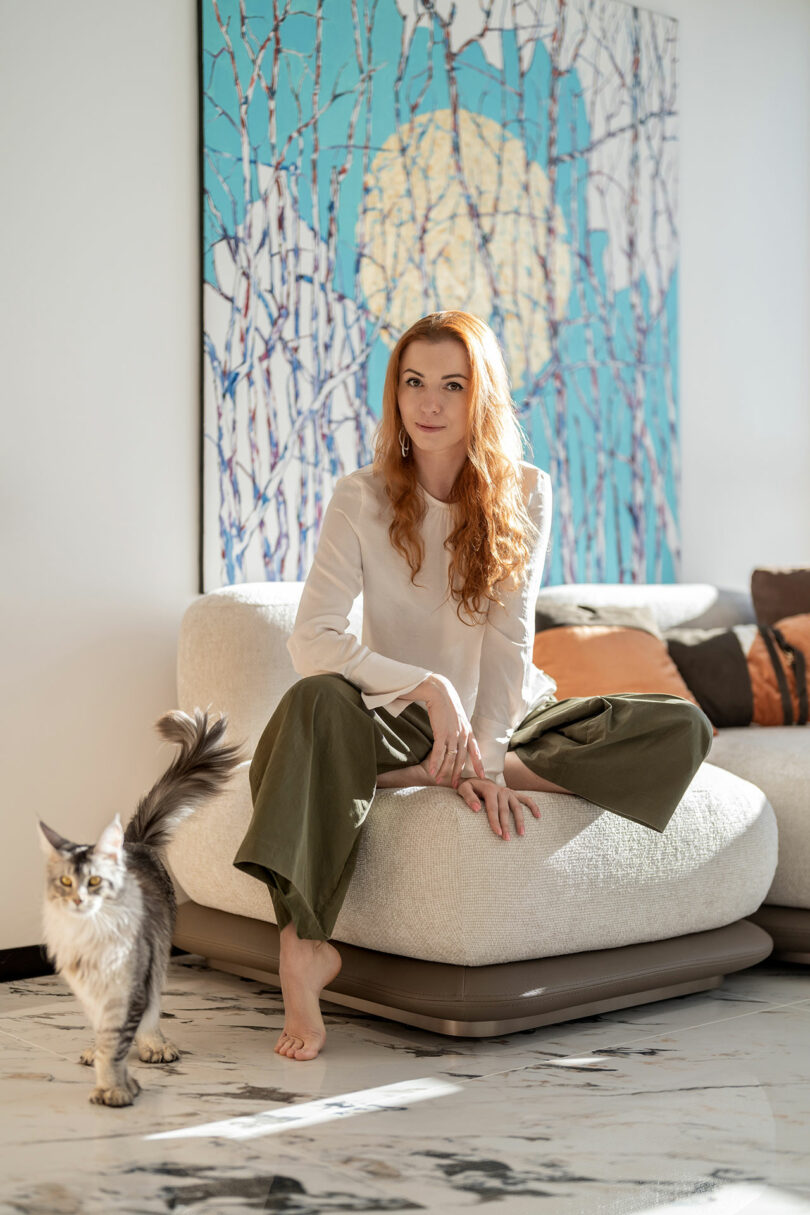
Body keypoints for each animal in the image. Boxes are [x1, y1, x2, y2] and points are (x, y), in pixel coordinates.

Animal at [38, 709, 240, 1108]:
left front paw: (114, 1085)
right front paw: (104, 1065)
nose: (81, 900)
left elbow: (124, 1033)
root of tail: (134, 842)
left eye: (97, 882)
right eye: (66, 882)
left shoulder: (136, 978)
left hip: (159, 956)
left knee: (153, 1011)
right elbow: (105, 1032)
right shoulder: (89, 986)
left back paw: (154, 1044)